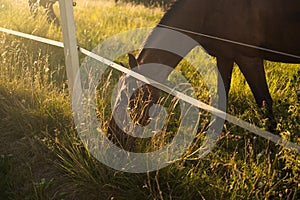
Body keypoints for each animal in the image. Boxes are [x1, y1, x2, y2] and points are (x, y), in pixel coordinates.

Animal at [108, 0, 300, 144]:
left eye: (129, 97)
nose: (111, 135)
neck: (209, 9)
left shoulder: (249, 58)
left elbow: (264, 101)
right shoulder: (225, 56)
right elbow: (221, 98)